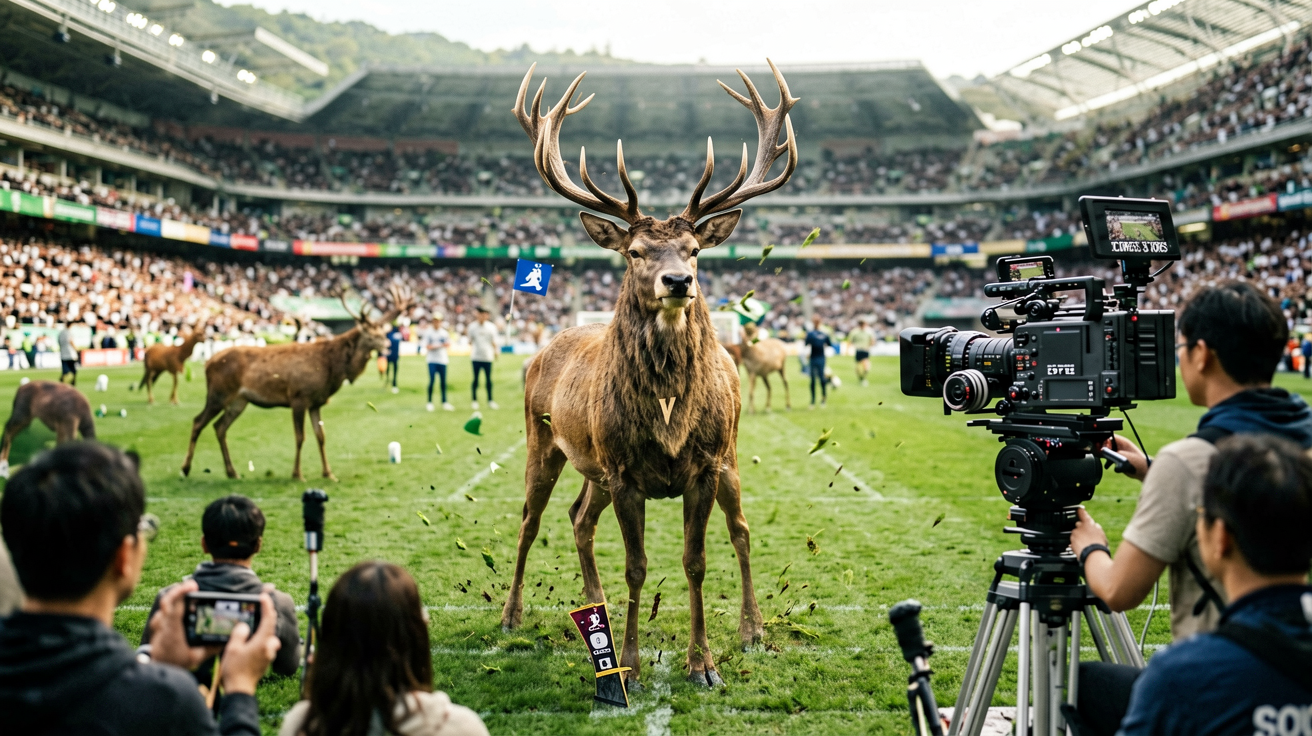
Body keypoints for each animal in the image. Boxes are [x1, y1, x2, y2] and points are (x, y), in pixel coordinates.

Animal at [181, 285, 411, 481]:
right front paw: (297, 474)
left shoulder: (316, 402)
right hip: (218, 394)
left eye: (382, 332)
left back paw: (232, 472)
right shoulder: (299, 397)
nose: (388, 344)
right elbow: (300, 437)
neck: (331, 368)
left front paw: (328, 473)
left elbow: (321, 436)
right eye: (371, 334)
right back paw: (185, 469)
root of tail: (208, 363)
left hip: (239, 401)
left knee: (219, 427)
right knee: (198, 421)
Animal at [501, 60, 798, 688]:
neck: (667, 416)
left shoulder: (704, 465)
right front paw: (631, 666)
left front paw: (703, 664)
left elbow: (696, 561)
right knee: (534, 520)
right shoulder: (623, 470)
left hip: (718, 455)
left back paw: (749, 629)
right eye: (635, 251)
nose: (678, 282)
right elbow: (637, 566)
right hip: (548, 441)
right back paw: (517, 614)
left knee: (726, 529)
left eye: (694, 250)